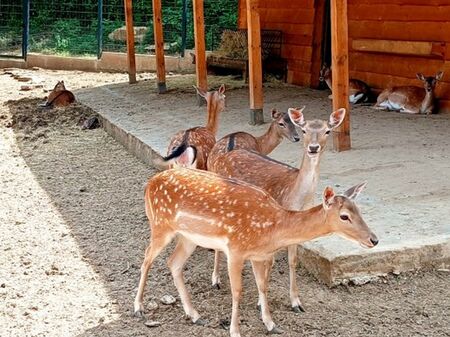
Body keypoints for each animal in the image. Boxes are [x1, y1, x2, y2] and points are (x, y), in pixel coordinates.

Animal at [134, 167, 380, 336]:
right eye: (344, 216)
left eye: (359, 211)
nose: (374, 239)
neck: (271, 230)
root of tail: (148, 184)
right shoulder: (236, 248)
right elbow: (238, 291)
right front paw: (235, 330)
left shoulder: (258, 255)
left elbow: (263, 286)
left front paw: (271, 324)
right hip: (160, 224)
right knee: (146, 259)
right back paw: (138, 308)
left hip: (188, 237)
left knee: (173, 263)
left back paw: (195, 315)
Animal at [209, 108, 346, 312]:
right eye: (304, 130)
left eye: (327, 131)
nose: (313, 148)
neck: (296, 197)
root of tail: (225, 154)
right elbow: (270, 261)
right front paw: (261, 302)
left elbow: (292, 260)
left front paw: (296, 302)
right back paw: (216, 280)